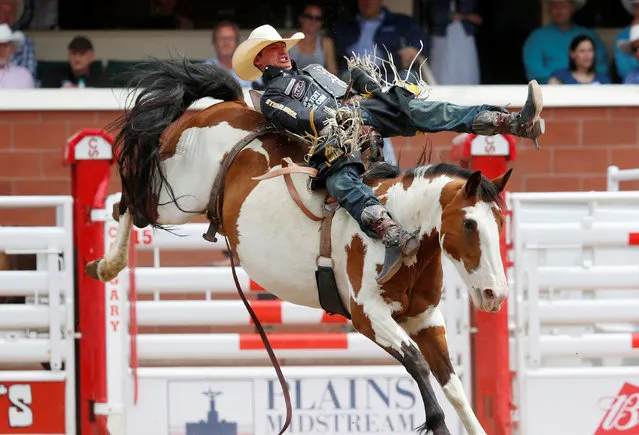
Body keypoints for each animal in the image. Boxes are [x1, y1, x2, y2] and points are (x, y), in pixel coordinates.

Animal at [86, 60, 516, 435]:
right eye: (469, 223)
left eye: (500, 222)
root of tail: (225, 106)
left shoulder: (425, 318)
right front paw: (437, 423)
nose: (494, 294)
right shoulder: (368, 316)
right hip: (174, 198)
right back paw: (106, 265)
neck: (402, 226)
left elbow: (452, 384)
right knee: (127, 202)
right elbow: (417, 364)